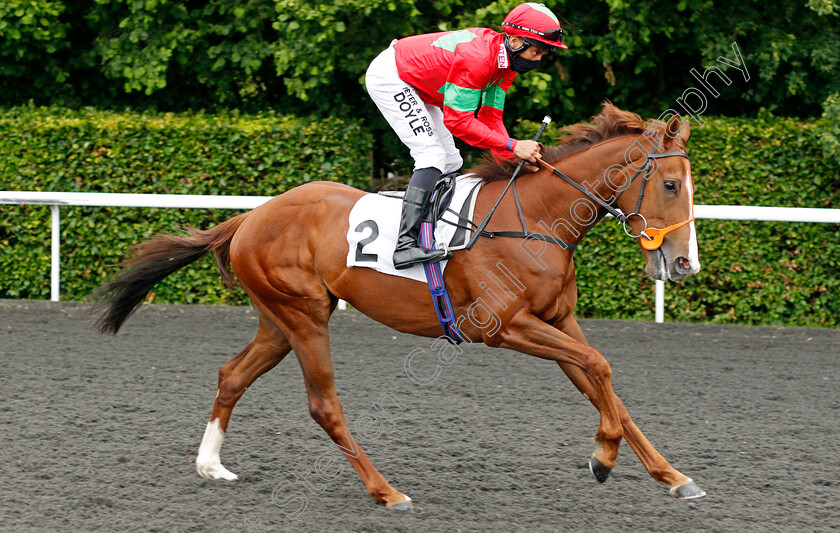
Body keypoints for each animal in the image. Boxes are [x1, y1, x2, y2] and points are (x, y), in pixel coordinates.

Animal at [92, 104, 704, 508]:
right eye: (672, 185)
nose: (683, 265)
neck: (535, 218)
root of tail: (251, 217)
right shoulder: (505, 327)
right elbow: (600, 367)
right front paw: (603, 458)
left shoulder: (558, 321)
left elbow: (604, 383)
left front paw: (672, 476)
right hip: (303, 316)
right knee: (324, 405)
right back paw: (386, 491)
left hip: (278, 319)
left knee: (232, 375)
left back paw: (211, 465)